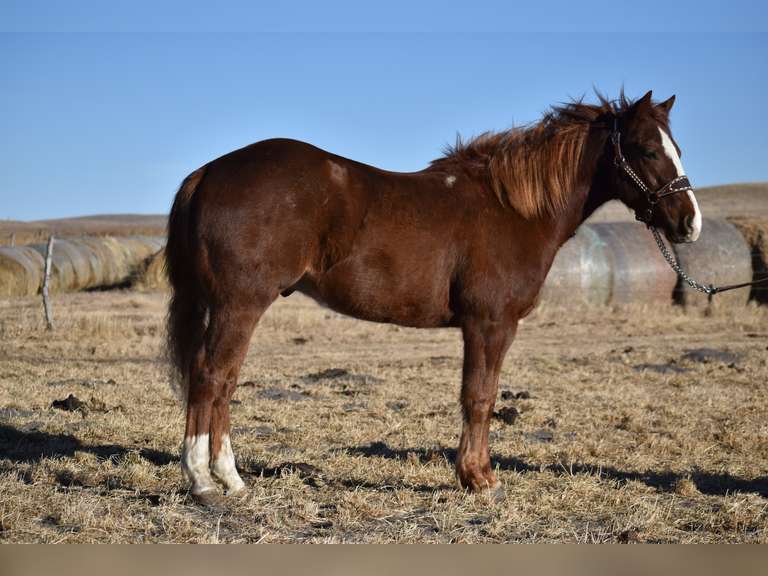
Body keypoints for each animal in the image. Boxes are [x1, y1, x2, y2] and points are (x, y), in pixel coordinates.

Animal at [165, 90, 701, 505]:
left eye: (678, 148)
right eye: (647, 150)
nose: (689, 223)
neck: (511, 209)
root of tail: (208, 172)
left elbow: (479, 395)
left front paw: (474, 474)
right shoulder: (490, 323)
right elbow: (479, 396)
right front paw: (479, 478)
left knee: (221, 380)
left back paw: (230, 480)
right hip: (241, 304)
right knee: (213, 376)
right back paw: (205, 482)